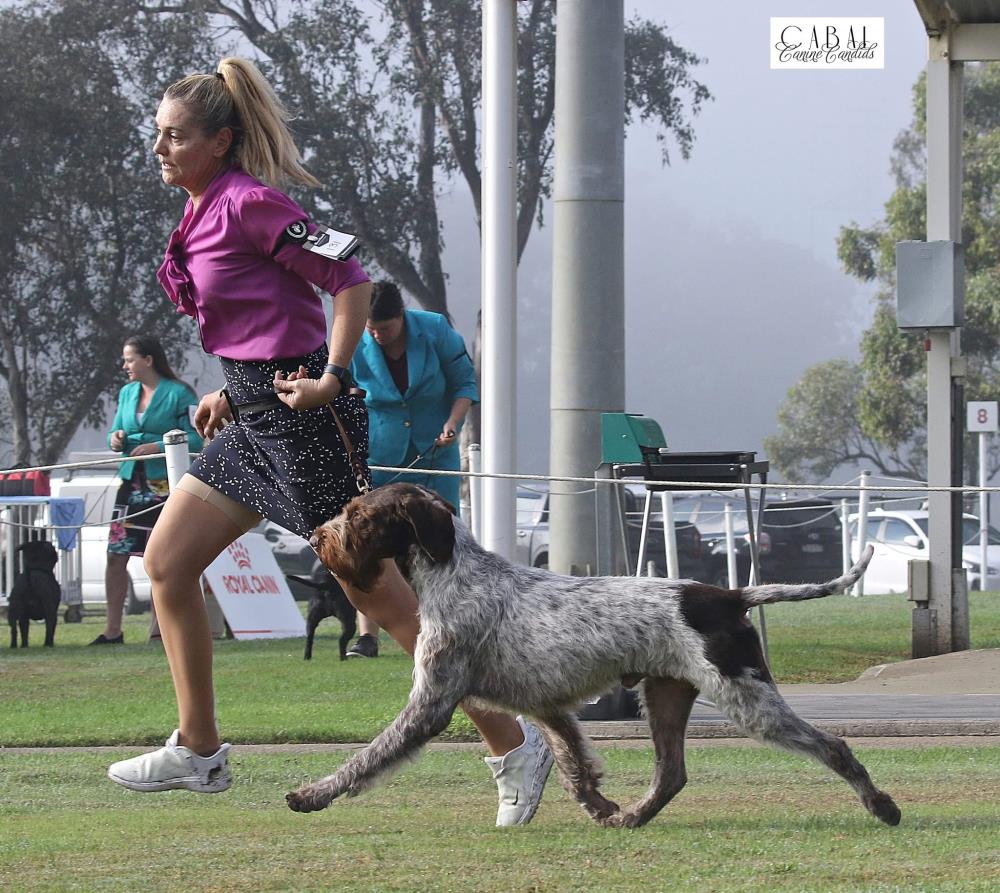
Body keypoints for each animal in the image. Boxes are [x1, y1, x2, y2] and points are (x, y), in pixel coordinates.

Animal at [289, 483, 898, 829]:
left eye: (357, 514)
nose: (317, 538)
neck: (454, 573)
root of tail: (728, 595)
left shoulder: (430, 705)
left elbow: (364, 760)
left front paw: (313, 794)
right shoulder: (548, 708)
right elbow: (575, 768)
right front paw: (600, 808)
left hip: (746, 698)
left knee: (835, 746)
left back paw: (881, 806)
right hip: (666, 696)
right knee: (672, 773)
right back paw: (633, 817)